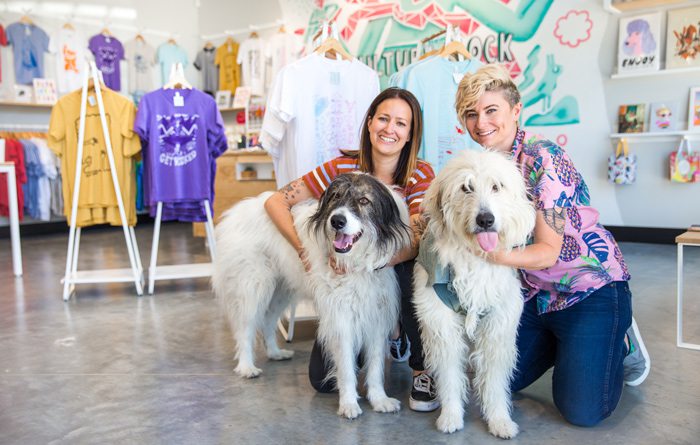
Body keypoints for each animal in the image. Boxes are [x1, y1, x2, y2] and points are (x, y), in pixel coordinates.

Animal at [211, 172, 412, 418]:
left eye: (364, 200)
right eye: (335, 196)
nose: (337, 221)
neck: (355, 263)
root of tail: (234, 213)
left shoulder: (376, 314)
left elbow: (375, 366)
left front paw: (379, 399)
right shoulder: (340, 318)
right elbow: (346, 366)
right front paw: (348, 403)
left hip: (281, 291)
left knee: (268, 321)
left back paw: (275, 352)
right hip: (253, 287)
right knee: (245, 329)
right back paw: (246, 366)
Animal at [412, 148, 532, 438]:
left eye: (497, 186)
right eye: (466, 187)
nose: (485, 219)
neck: (474, 257)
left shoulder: (497, 327)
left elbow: (495, 382)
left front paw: (500, 420)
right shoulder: (441, 325)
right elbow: (449, 377)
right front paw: (451, 416)